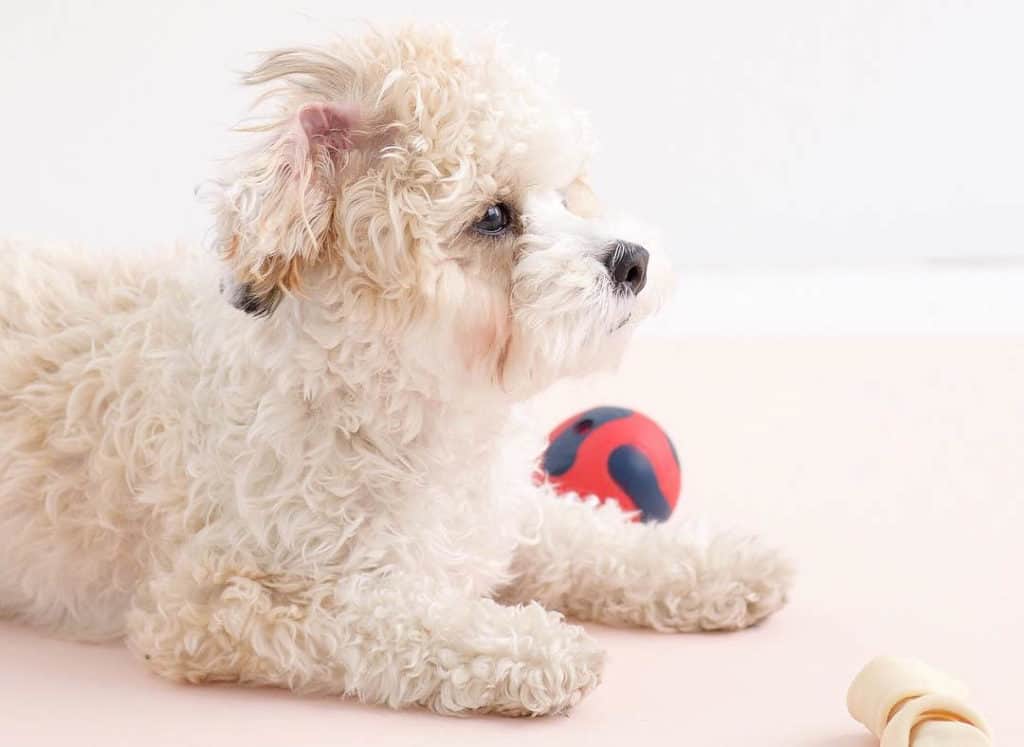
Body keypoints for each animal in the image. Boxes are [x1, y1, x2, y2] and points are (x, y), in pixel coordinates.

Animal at [0, 26, 790, 713]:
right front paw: (533, 647)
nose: (633, 260)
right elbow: (403, 625)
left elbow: (590, 538)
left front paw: (716, 563)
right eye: (494, 217)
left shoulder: (498, 517)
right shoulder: (219, 602)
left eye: (567, 193)